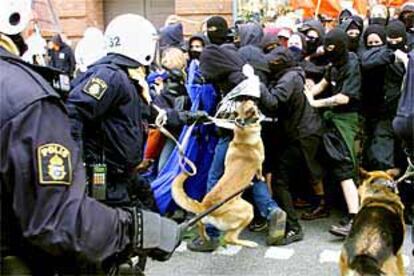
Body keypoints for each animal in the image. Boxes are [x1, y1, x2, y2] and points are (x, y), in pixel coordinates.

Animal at [172, 100, 266, 247]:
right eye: (253, 104)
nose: (256, 100)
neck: (243, 132)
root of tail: (204, 206)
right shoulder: (260, 162)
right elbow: (259, 171)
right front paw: (261, 178)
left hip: (202, 220)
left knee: (200, 224)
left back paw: (205, 238)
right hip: (248, 209)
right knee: (229, 238)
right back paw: (247, 243)